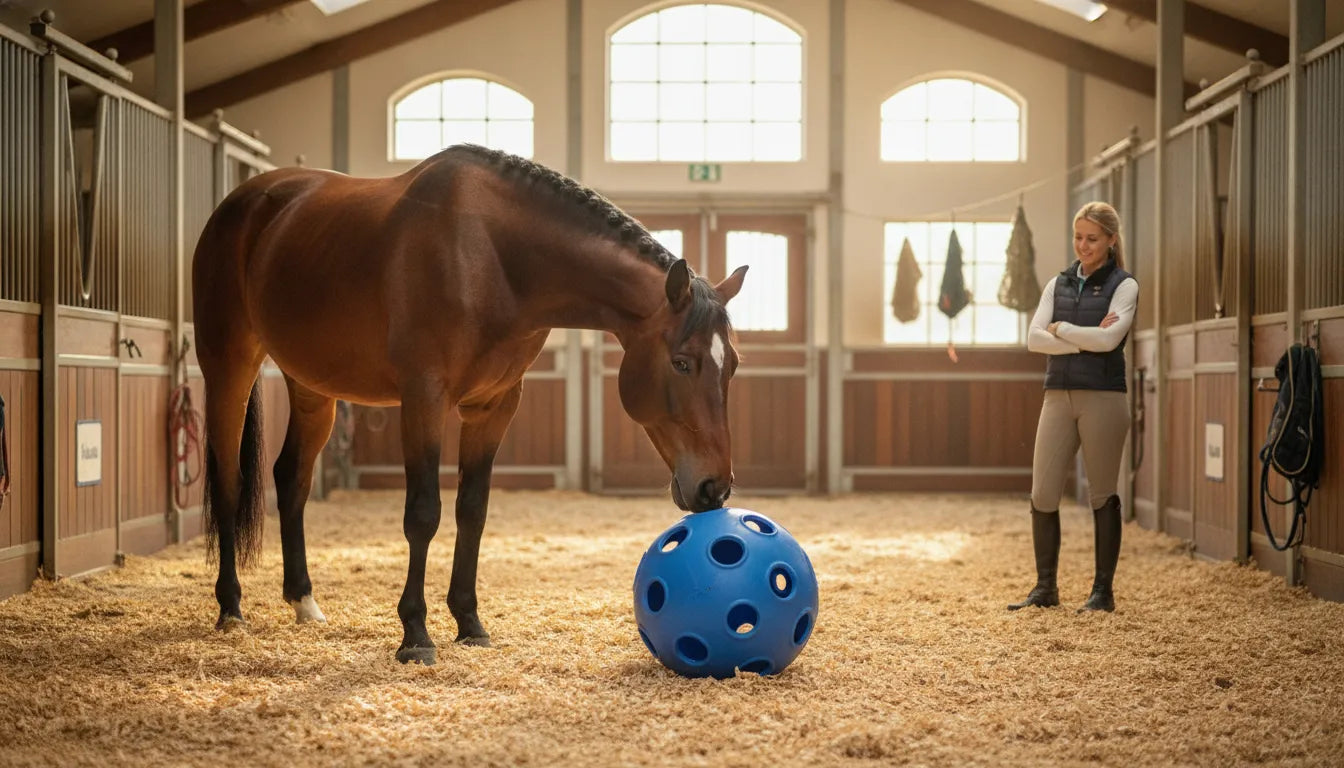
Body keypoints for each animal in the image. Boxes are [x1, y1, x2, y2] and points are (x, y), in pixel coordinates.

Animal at [191, 144, 748, 665]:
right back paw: (231, 608)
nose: (714, 487)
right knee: (230, 481)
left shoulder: (494, 406)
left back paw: (304, 602)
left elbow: (472, 510)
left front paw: (470, 623)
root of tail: (240, 204)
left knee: (292, 479)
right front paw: (415, 634)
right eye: (682, 363)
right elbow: (423, 514)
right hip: (229, 368)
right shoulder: (424, 398)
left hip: (313, 389)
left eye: (734, 365)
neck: (492, 257)